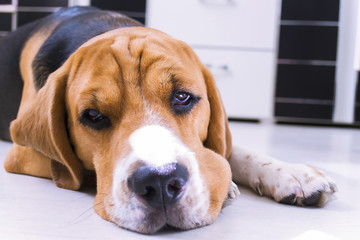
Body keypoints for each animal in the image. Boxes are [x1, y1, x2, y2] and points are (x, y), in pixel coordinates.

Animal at [0, 6, 338, 233]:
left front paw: (292, 174)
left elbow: (233, 150)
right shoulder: (22, 152)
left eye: (183, 97)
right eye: (93, 116)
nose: (161, 182)